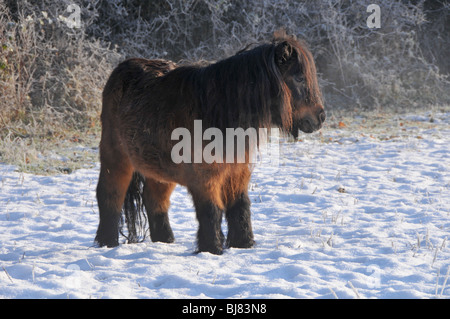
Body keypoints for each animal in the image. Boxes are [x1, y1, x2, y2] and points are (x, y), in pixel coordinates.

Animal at [96, 31, 326, 255]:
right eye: (299, 78)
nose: (321, 117)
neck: (216, 112)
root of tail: (123, 68)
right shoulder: (205, 178)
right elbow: (211, 212)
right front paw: (212, 249)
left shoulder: (237, 172)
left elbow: (240, 207)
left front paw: (244, 244)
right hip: (116, 158)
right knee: (110, 196)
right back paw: (107, 242)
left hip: (158, 169)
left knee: (155, 200)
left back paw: (165, 241)